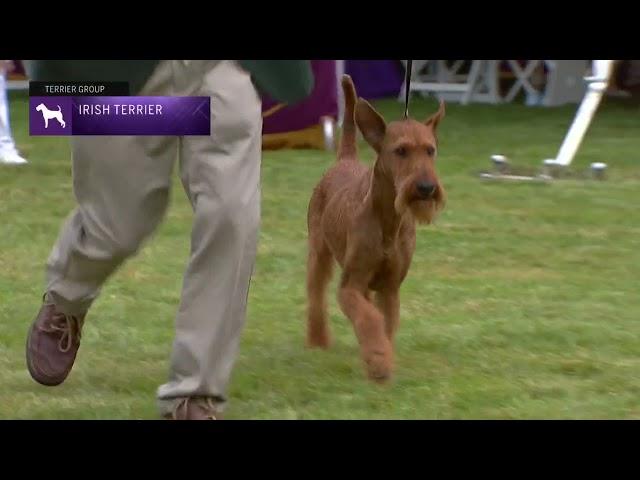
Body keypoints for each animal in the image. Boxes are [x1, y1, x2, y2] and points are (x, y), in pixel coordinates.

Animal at [304, 75, 444, 382]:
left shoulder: (390, 288)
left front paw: (381, 357)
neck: (388, 221)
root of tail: (345, 160)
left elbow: (385, 323)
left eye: (430, 150)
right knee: (316, 296)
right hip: (318, 253)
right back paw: (318, 340)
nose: (426, 188)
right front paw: (379, 361)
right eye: (401, 151)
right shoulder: (349, 285)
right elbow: (370, 319)